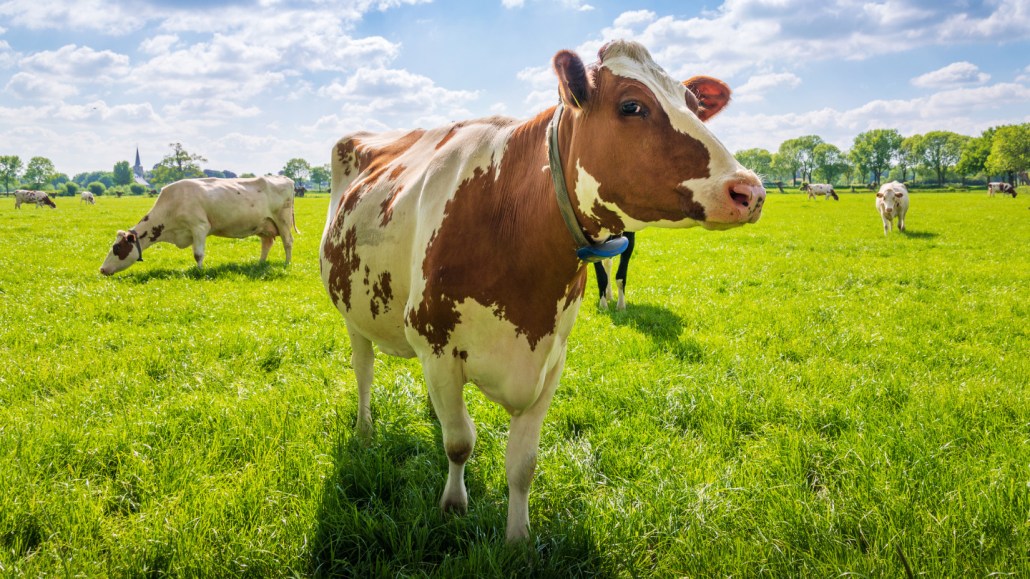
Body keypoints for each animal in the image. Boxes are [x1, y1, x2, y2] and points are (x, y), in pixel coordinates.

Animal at [99, 176, 296, 276]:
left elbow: (198, 254)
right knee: (267, 243)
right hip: (263, 225)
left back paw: (287, 264)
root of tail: (285, 178)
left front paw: (200, 271)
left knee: (288, 242)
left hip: (283, 220)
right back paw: (260, 263)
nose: (102, 269)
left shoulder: (199, 227)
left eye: (117, 248)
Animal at [319, 40, 766, 541]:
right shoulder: (436, 346)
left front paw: (518, 539)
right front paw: (453, 505)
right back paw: (364, 430)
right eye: (632, 106)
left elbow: (523, 464)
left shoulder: (550, 358)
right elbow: (460, 444)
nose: (750, 190)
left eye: (692, 104)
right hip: (352, 313)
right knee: (363, 371)